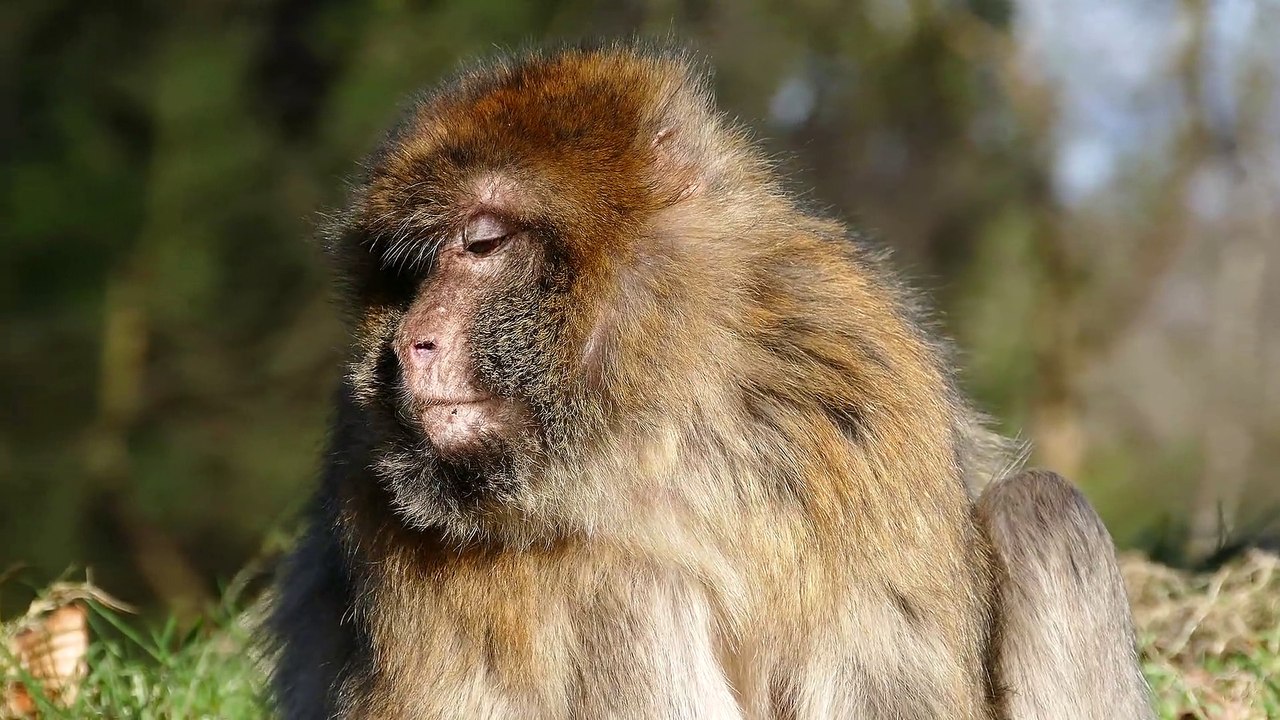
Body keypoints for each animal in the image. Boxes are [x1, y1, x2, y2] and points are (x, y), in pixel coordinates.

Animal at [269, 44, 1154, 719]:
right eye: (407, 272)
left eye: (483, 244)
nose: (410, 344)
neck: (647, 424)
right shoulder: (372, 484)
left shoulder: (854, 381)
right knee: (625, 582)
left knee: (1045, 511)